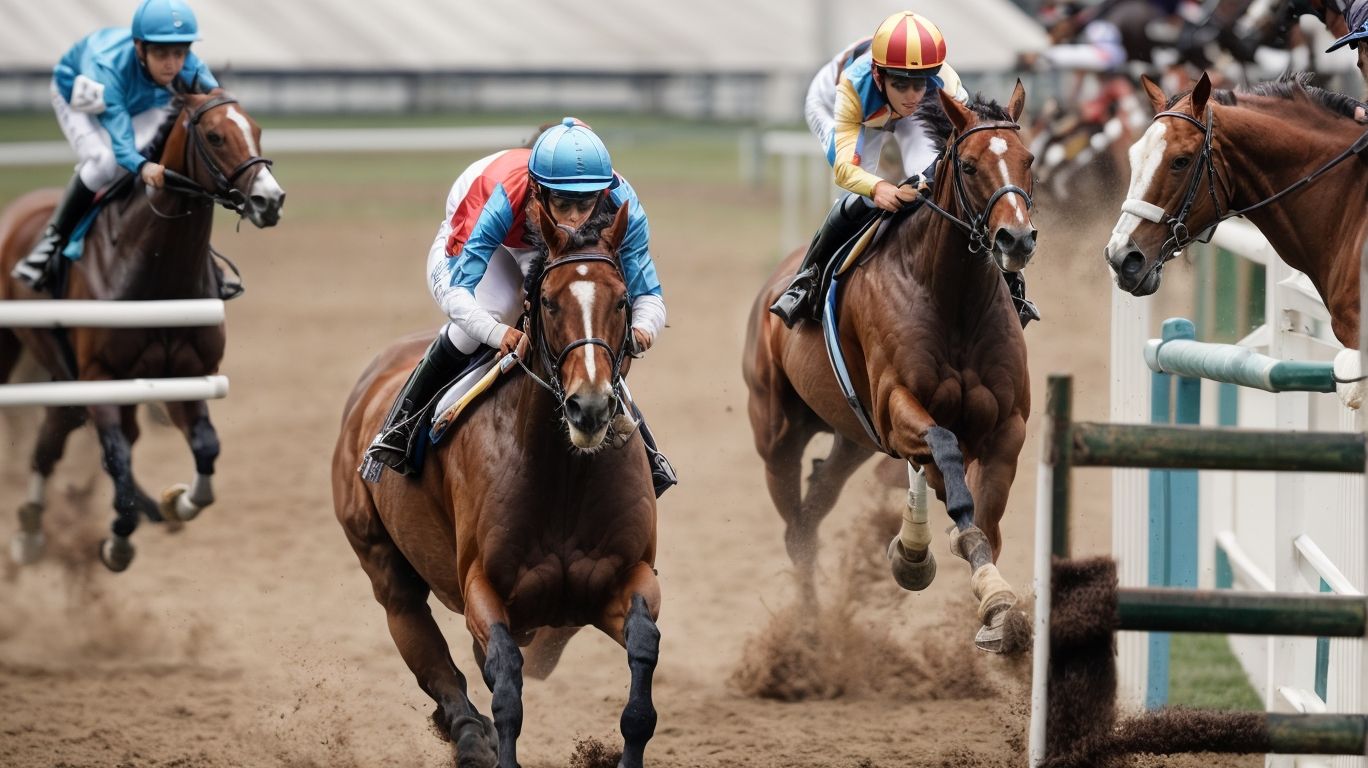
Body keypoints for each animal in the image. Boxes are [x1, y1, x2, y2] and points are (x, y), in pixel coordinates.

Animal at [0, 90, 284, 571]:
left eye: (256, 128)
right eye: (214, 136)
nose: (270, 200)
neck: (154, 270)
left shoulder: (189, 374)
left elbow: (205, 446)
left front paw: (177, 502)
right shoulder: (100, 377)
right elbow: (116, 455)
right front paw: (118, 542)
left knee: (53, 437)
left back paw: (33, 528)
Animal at [332, 199, 660, 768]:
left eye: (621, 301)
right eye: (548, 303)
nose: (590, 407)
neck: (564, 474)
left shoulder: (630, 575)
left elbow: (643, 652)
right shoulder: (483, 587)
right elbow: (506, 683)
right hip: (382, 562)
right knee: (428, 650)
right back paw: (467, 734)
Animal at [742, 82, 1037, 654]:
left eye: (1028, 159)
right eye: (969, 165)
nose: (1016, 239)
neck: (952, 297)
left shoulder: (1006, 426)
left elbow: (984, 518)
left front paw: (995, 606)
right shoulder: (897, 407)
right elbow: (947, 462)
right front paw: (915, 554)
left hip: (850, 437)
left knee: (816, 502)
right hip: (778, 434)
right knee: (797, 530)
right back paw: (806, 637)